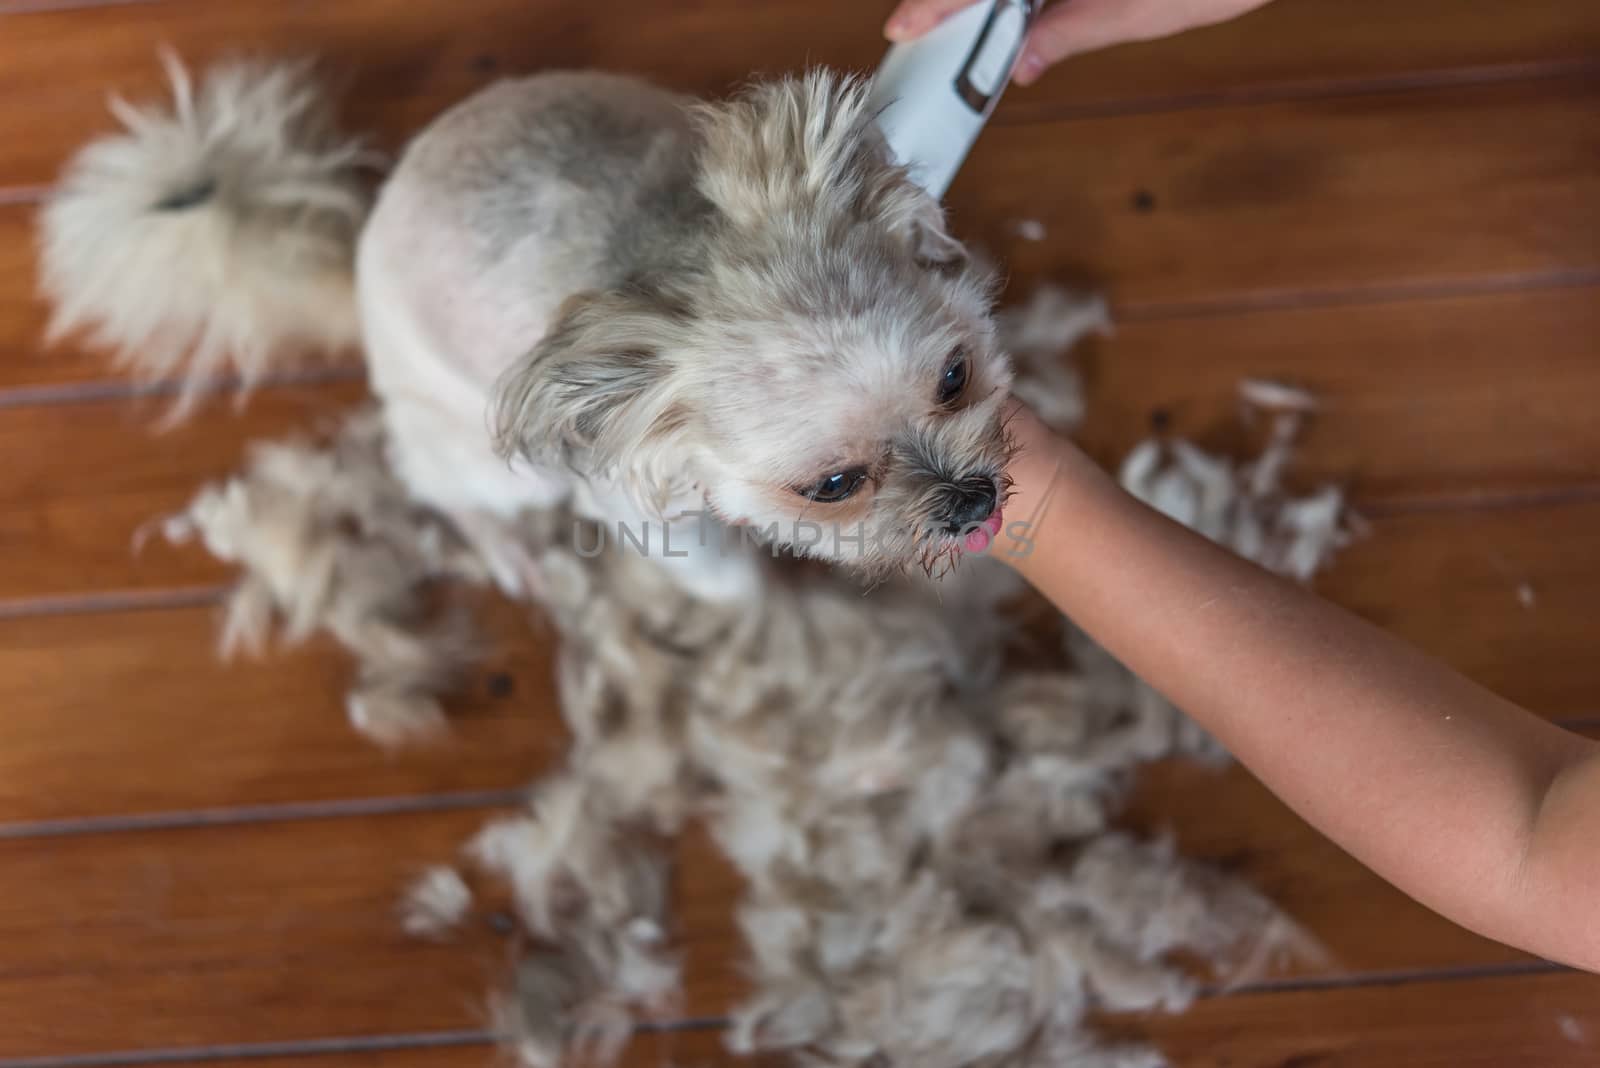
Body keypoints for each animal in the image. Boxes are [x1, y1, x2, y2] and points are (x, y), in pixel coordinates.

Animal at [43, 56, 1017, 601]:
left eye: (955, 376)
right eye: (833, 486)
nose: (971, 500)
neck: (675, 252)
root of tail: (356, 255)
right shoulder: (644, 516)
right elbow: (732, 586)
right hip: (476, 453)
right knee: (442, 488)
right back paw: (511, 555)